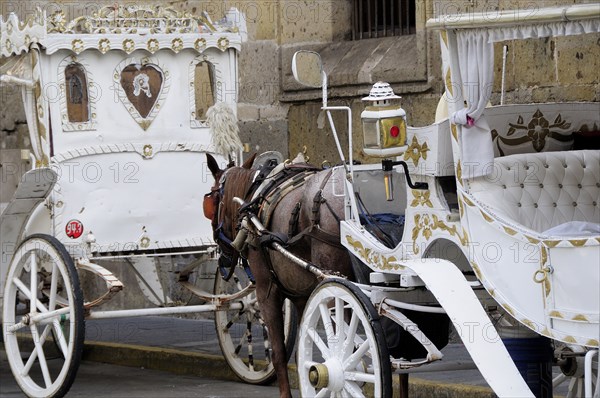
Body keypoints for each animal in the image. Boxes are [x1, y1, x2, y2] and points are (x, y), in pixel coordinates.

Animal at [204, 153, 354, 398]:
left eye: (213, 201)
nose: (223, 257)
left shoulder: (267, 291)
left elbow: (278, 352)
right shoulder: (303, 297)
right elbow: (303, 351)